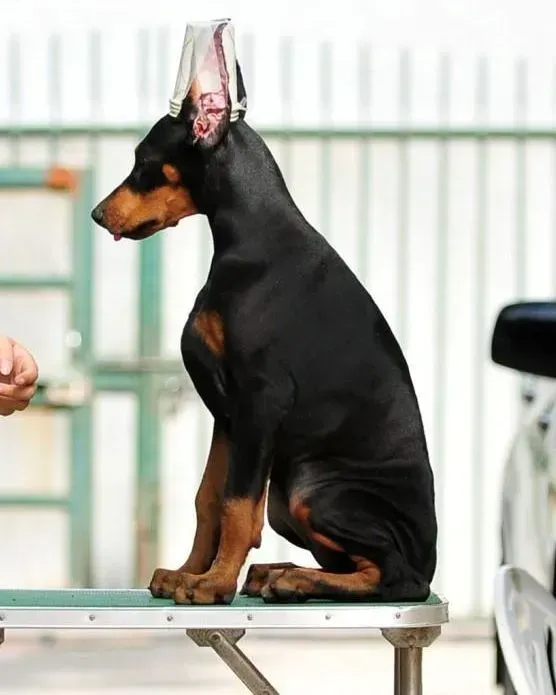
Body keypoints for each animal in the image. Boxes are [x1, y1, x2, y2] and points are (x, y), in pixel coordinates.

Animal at [92, 24, 438, 608]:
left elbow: (236, 505)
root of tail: (428, 557)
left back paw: (296, 580)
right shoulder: (227, 412)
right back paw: (277, 571)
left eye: (142, 160)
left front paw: (213, 585)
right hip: (286, 496)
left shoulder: (260, 398)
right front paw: (189, 573)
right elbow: (209, 499)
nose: (98, 215)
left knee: (394, 577)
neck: (249, 237)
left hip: (312, 490)